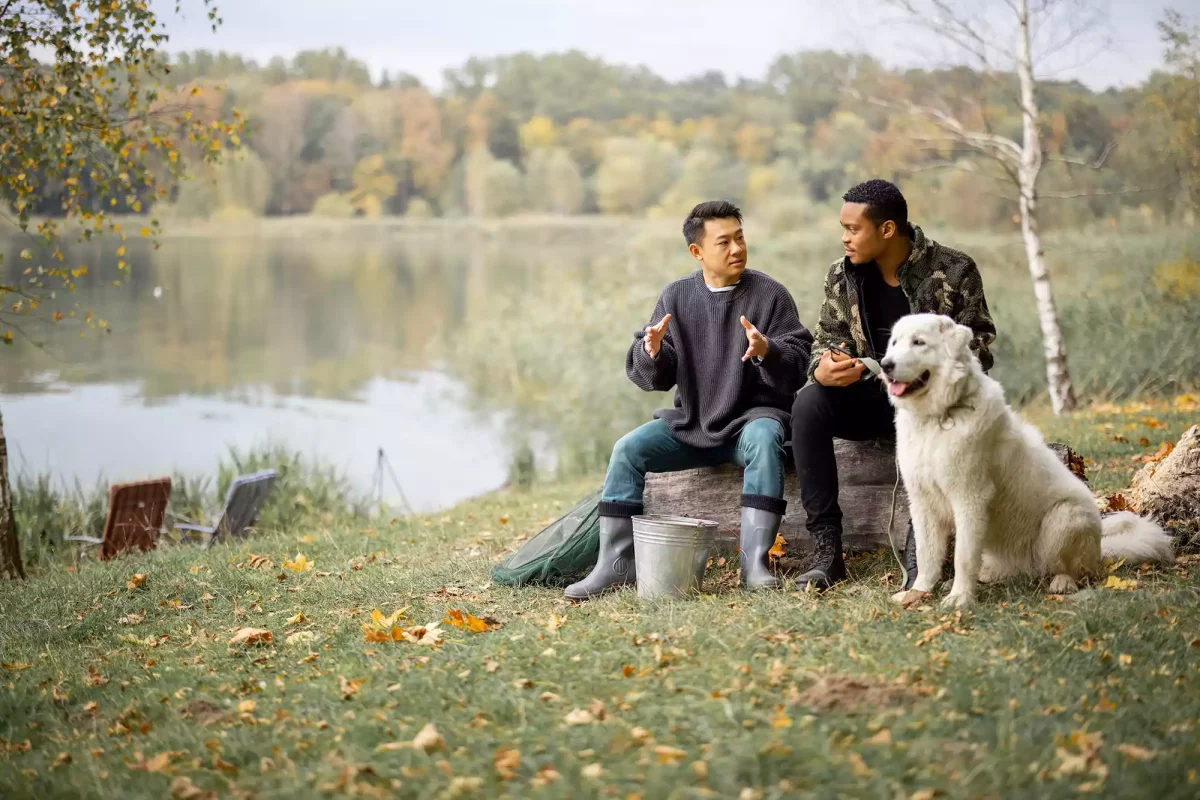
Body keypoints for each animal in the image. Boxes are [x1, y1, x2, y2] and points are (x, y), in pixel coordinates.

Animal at [883, 311, 1171, 606]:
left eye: (919, 342)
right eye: (894, 343)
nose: (885, 365)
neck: (938, 418)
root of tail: (1100, 550)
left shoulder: (969, 498)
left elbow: (962, 557)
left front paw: (959, 599)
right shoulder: (922, 502)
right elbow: (927, 555)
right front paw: (917, 593)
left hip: (1063, 519)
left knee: (1070, 570)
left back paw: (1062, 583)